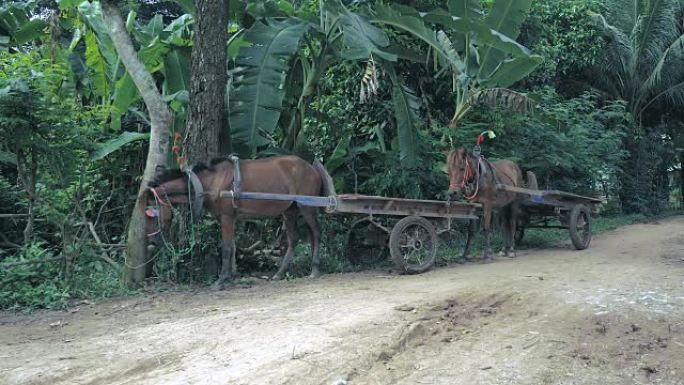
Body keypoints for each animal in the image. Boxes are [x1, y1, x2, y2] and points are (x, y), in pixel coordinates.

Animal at [142, 154, 326, 284]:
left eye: (151, 215)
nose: (152, 243)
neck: (209, 183)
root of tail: (312, 168)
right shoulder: (229, 218)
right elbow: (232, 246)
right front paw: (232, 276)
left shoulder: (227, 217)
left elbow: (226, 248)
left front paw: (222, 279)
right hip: (290, 209)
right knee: (294, 238)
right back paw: (279, 273)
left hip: (307, 206)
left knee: (316, 233)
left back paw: (315, 269)